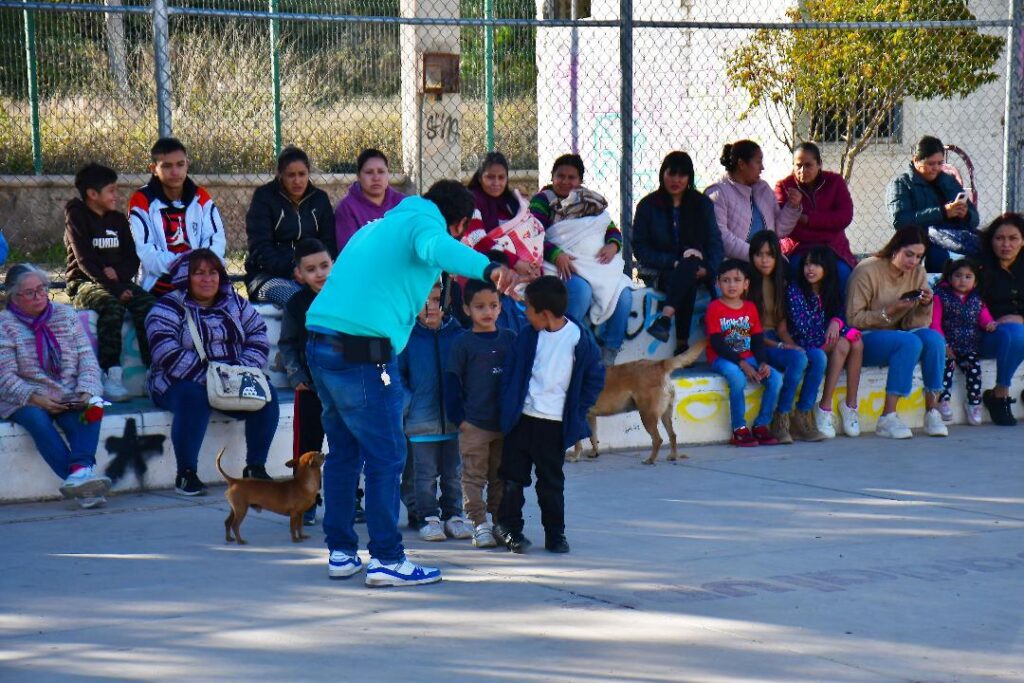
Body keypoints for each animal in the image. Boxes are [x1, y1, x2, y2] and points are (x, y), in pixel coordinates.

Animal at [573, 339, 708, 464]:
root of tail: (659, 364)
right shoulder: (590, 416)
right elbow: (593, 436)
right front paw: (594, 452)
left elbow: (578, 441)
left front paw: (575, 457)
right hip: (665, 414)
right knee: (672, 435)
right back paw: (673, 456)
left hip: (647, 415)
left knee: (658, 439)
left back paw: (650, 460)